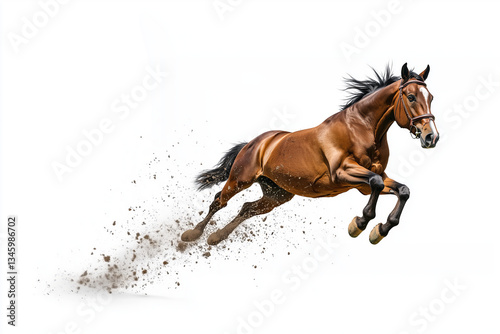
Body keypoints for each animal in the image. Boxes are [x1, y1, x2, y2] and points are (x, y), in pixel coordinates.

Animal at [181, 62, 438, 245]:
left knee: (247, 208)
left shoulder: (367, 183)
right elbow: (375, 183)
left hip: (277, 194)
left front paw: (379, 230)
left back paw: (217, 237)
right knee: (219, 201)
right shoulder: (343, 174)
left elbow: (402, 190)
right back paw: (191, 235)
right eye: (411, 97)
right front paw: (359, 224)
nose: (431, 137)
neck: (362, 128)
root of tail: (255, 142)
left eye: (431, 97)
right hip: (240, 179)